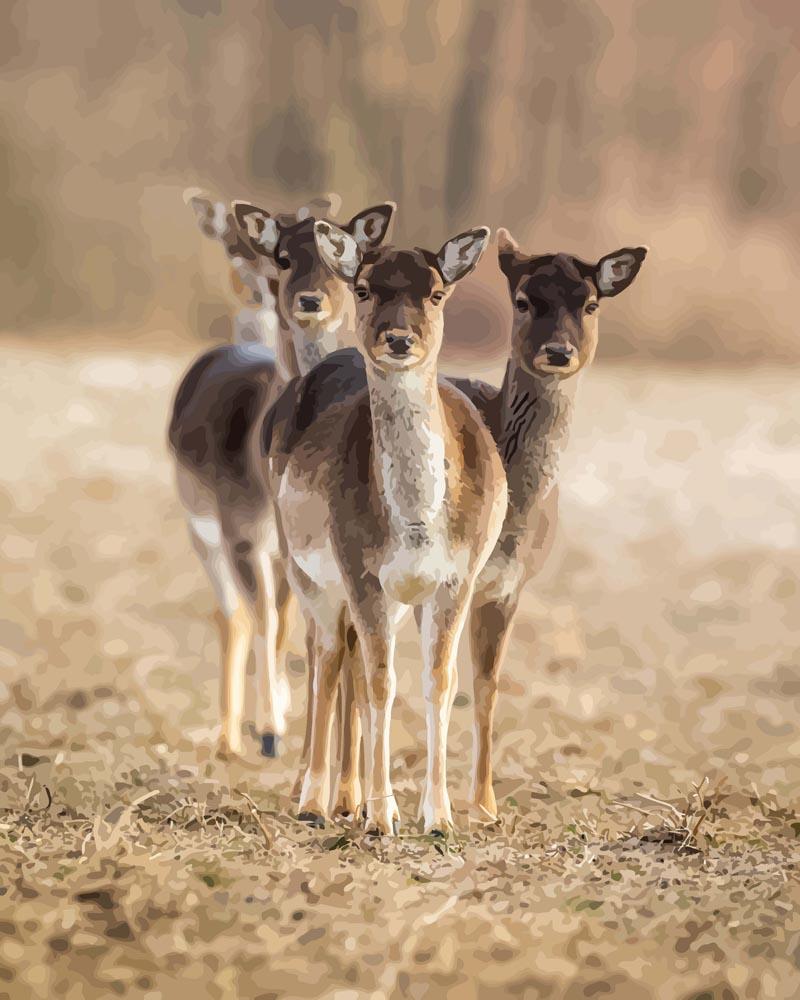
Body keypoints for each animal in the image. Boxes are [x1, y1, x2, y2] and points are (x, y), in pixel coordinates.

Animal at [170, 191, 396, 760]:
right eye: (285, 256)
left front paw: (286, 718)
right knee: (231, 614)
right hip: (198, 520)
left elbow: (292, 620)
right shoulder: (242, 530)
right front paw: (270, 728)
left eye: (345, 259)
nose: (309, 300)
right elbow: (265, 617)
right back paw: (230, 736)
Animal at [266, 223, 510, 832]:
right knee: (327, 655)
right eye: (365, 288)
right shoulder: (360, 570)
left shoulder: (456, 578)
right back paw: (314, 801)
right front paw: (381, 817)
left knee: (347, 658)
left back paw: (343, 799)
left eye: (437, 292)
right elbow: (381, 680)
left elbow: (438, 683)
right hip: (304, 569)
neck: (417, 524)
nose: (398, 340)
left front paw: (439, 817)